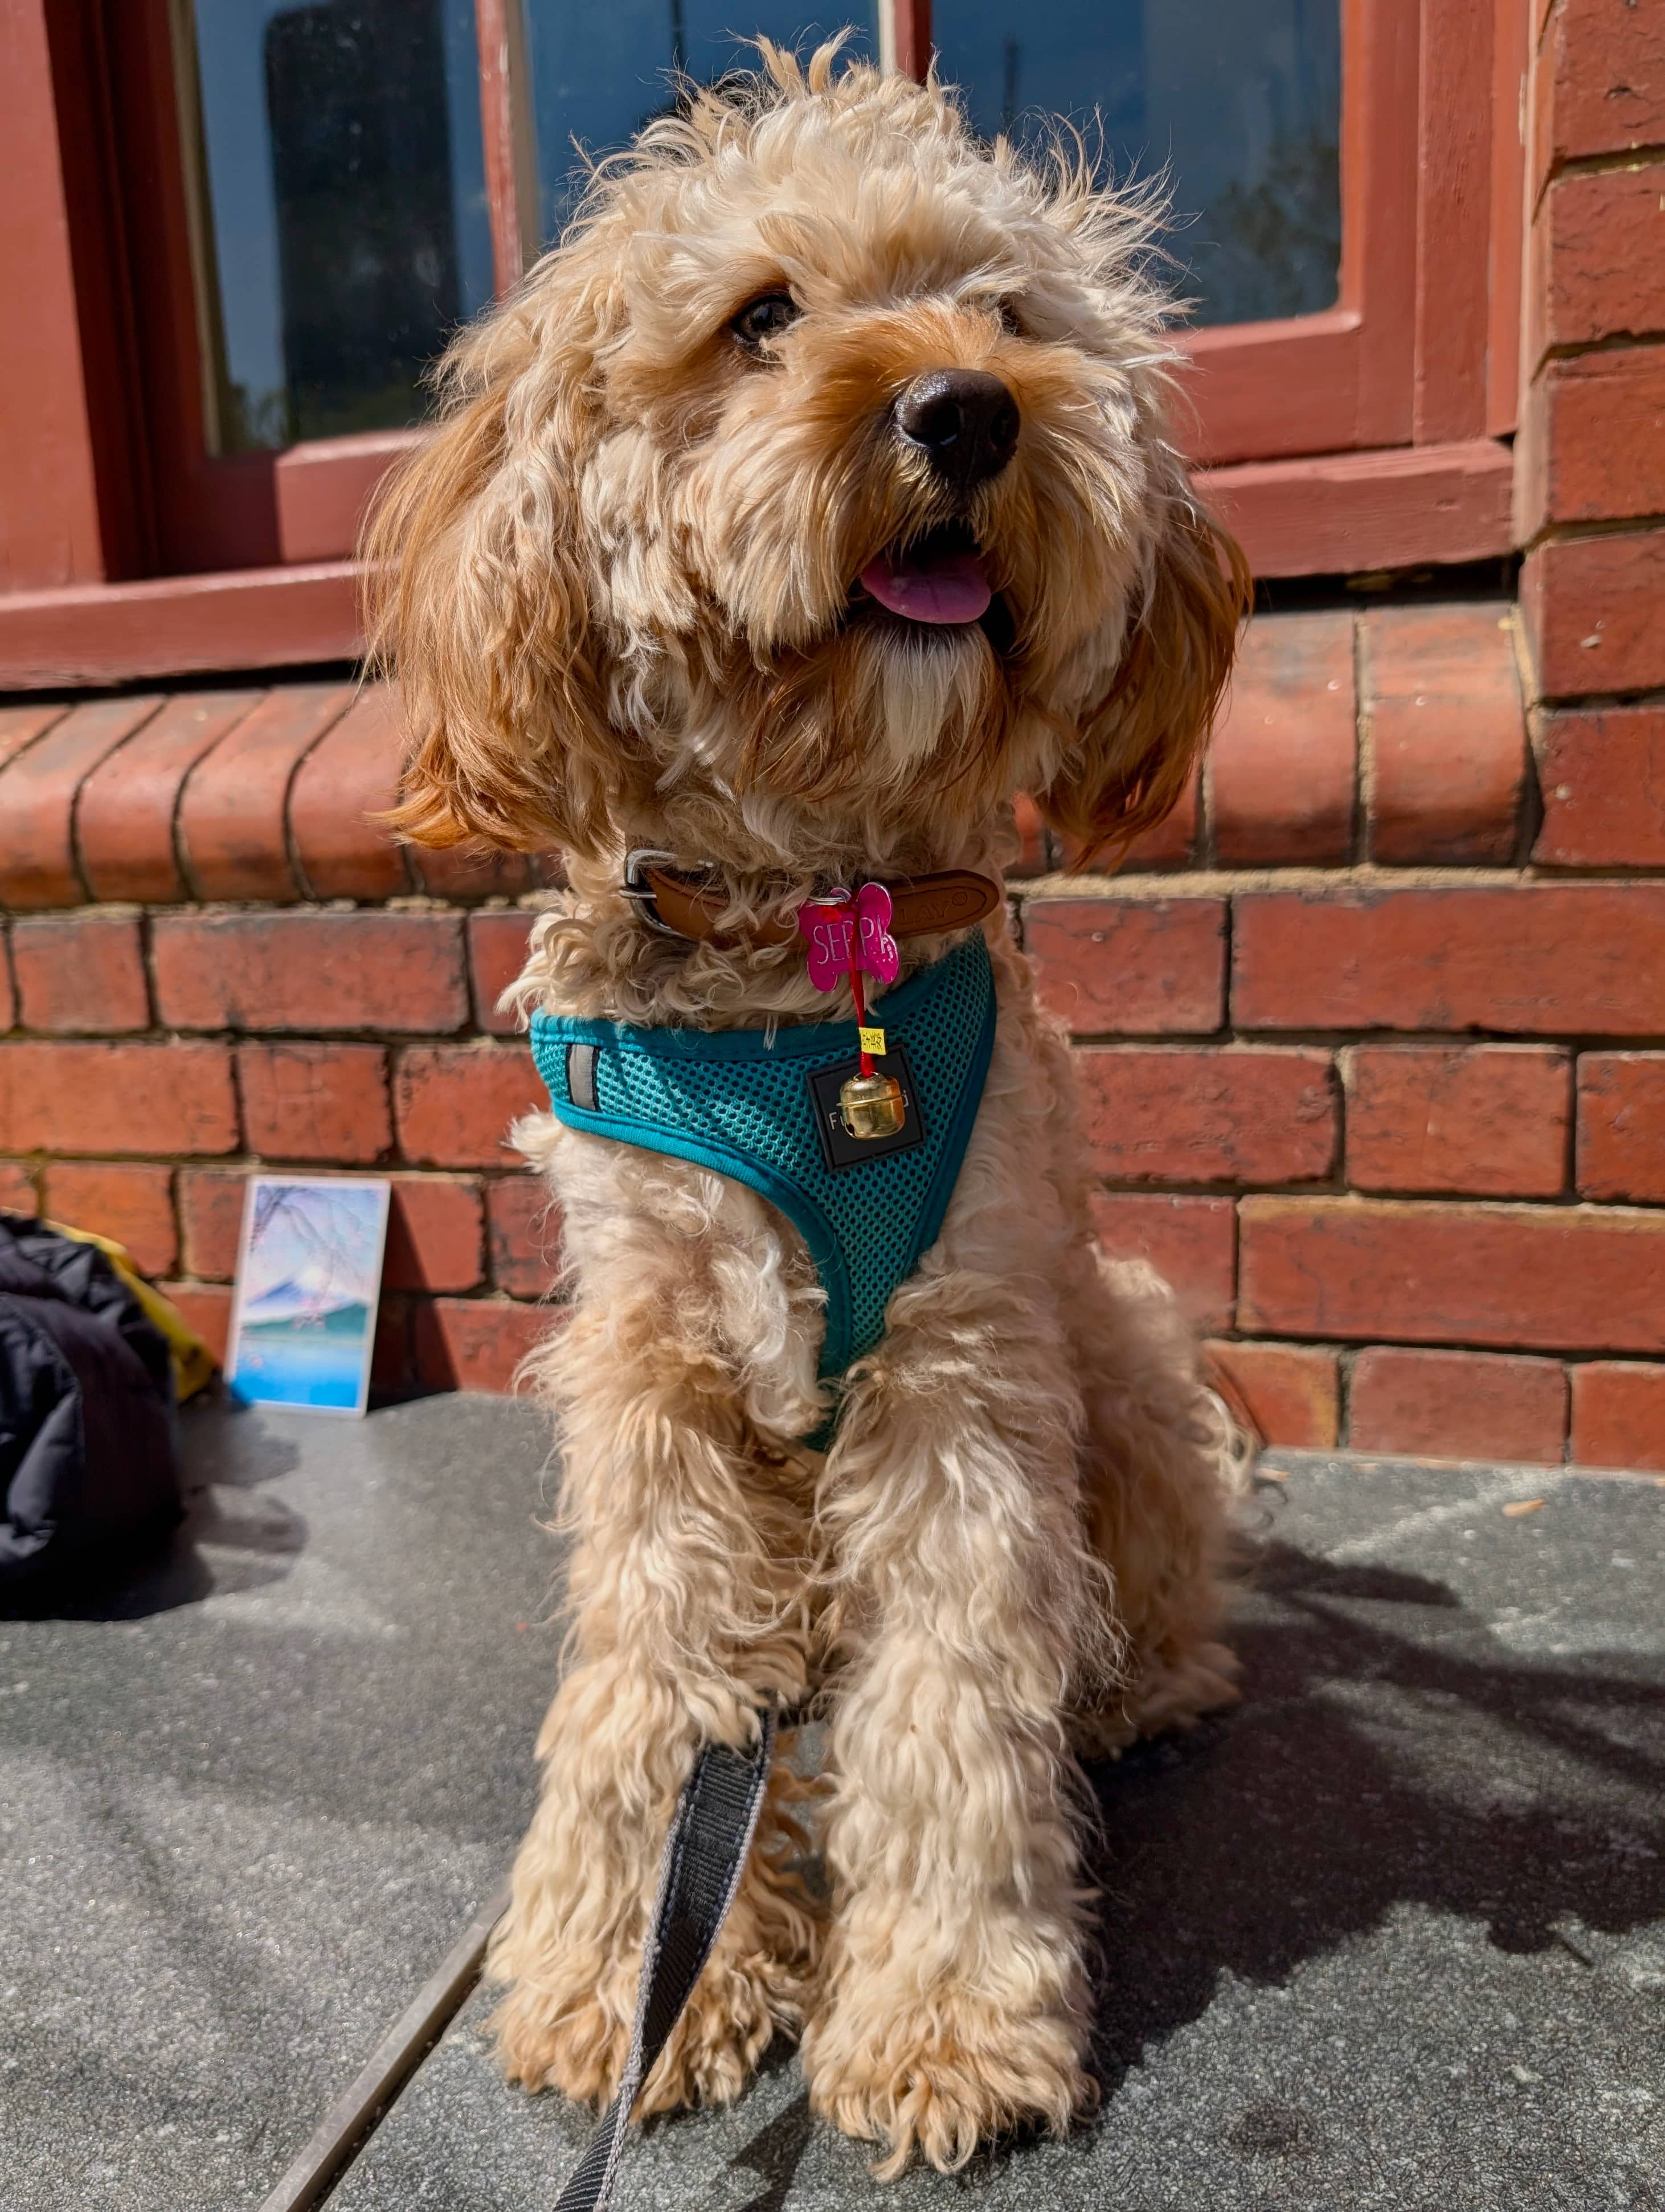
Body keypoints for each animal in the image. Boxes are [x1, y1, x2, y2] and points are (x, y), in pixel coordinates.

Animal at [367, 43, 1247, 2185]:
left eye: (1007, 312)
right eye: (759, 317)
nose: (966, 407)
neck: (804, 948)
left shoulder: (964, 1362)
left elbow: (955, 1697)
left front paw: (939, 2023)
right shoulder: (655, 1365)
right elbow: (654, 1687)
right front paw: (629, 1984)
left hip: (1125, 1342)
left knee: (1133, 1609)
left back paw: (1128, 1686)